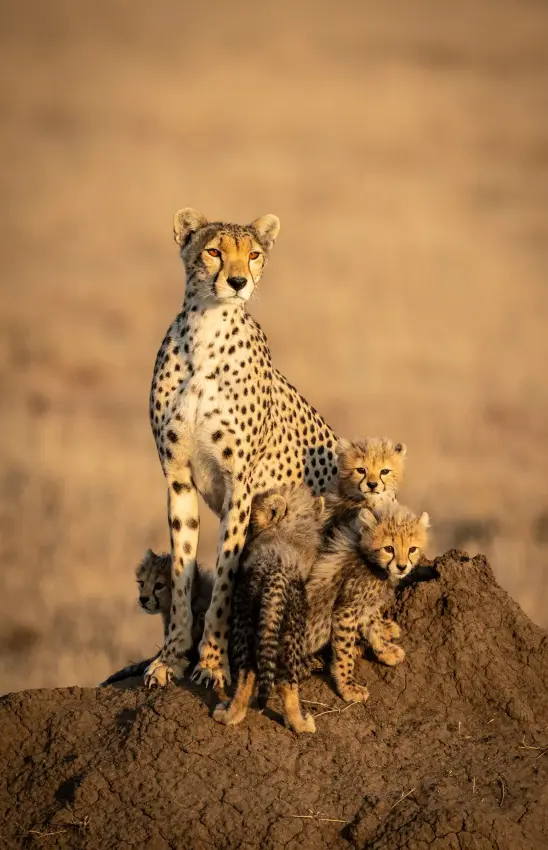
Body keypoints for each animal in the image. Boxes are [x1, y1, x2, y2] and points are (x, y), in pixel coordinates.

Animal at [145, 208, 338, 691]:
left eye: (253, 254)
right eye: (214, 251)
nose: (237, 282)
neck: (206, 332)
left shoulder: (240, 486)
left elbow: (225, 578)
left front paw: (213, 662)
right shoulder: (177, 479)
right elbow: (182, 572)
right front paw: (171, 658)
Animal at [213, 485, 324, 733]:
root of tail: (275, 575)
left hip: (244, 622)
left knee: (247, 674)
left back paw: (229, 716)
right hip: (291, 630)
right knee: (285, 683)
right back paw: (300, 724)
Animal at [305, 502, 430, 703]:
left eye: (412, 549)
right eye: (389, 548)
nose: (402, 567)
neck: (372, 563)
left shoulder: (365, 608)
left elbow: (375, 627)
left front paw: (385, 651)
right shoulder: (346, 612)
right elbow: (344, 651)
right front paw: (348, 687)